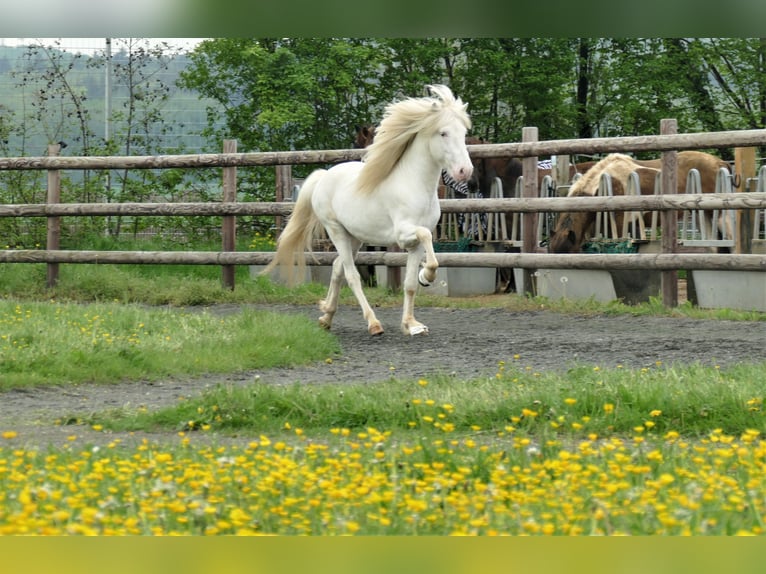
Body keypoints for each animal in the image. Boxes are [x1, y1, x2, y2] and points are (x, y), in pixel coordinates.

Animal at [264, 85, 473, 336]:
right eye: (443, 133)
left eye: (463, 133)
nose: (465, 171)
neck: (414, 184)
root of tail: (324, 176)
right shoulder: (404, 234)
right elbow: (427, 241)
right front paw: (426, 277)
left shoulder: (414, 246)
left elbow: (410, 284)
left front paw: (411, 324)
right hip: (336, 231)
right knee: (351, 274)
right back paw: (373, 324)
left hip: (355, 236)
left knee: (338, 267)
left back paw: (326, 317)